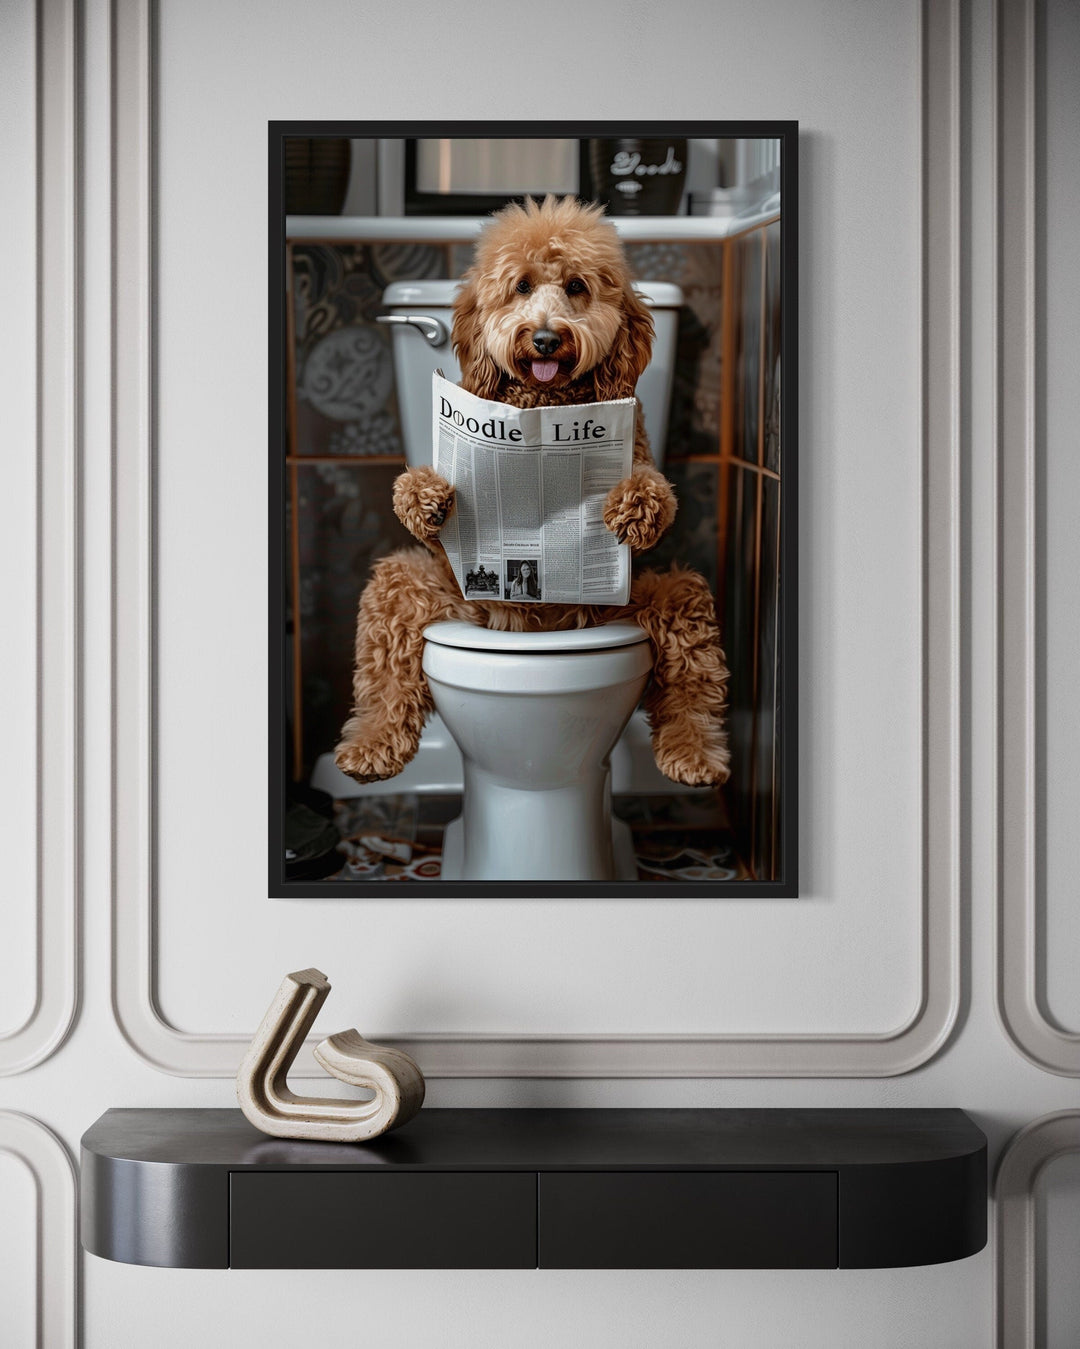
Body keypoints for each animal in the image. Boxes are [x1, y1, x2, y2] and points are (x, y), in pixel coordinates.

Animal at [333, 196, 728, 787]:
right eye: (520, 286)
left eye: (577, 285)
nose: (544, 337)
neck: (544, 401)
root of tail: (535, 634)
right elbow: (430, 516)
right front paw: (422, 495)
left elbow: (657, 493)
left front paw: (635, 504)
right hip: (421, 594)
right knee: (386, 665)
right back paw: (371, 749)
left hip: (649, 603)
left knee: (692, 664)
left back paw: (696, 756)